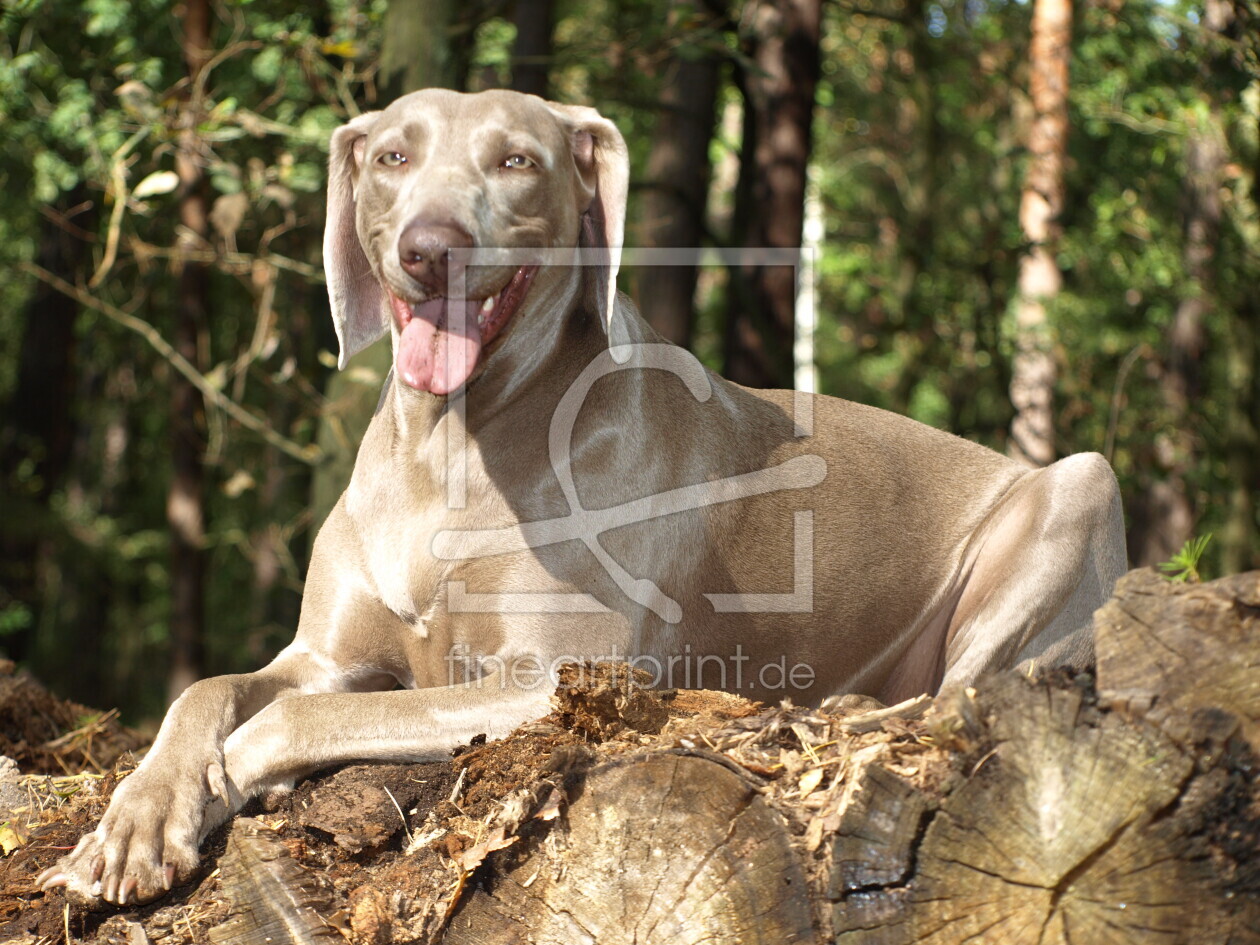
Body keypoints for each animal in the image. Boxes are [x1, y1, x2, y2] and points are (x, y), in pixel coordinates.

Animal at [39, 90, 1128, 912]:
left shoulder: (549, 678)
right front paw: (134, 820)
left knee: (960, 701)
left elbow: (293, 721)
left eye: (519, 161)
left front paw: (226, 779)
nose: (432, 247)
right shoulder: (326, 652)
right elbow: (207, 690)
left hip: (1079, 483)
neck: (449, 450)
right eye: (392, 155)